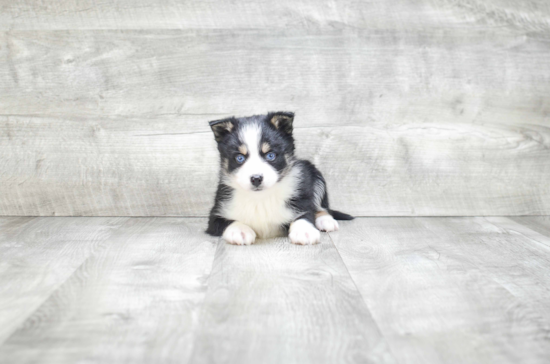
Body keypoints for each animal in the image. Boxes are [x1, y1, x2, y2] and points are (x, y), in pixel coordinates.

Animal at [207, 111, 354, 245]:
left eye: (270, 155)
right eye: (239, 158)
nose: (256, 179)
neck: (260, 198)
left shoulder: (301, 200)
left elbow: (305, 213)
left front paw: (304, 230)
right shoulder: (216, 212)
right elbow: (226, 221)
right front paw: (240, 230)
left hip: (314, 173)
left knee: (322, 207)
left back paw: (325, 220)